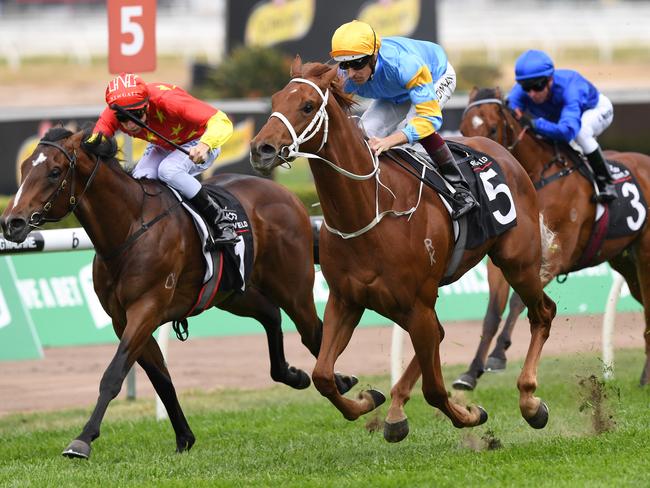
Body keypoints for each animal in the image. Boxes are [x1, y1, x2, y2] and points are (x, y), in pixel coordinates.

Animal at [0, 127, 354, 460]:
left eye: (54, 171)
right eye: (24, 167)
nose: (11, 222)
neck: (130, 228)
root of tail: (288, 196)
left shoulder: (146, 308)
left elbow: (114, 374)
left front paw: (83, 439)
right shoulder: (123, 319)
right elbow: (161, 378)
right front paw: (184, 437)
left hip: (292, 285)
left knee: (313, 332)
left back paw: (342, 384)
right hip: (233, 292)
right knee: (271, 314)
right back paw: (296, 375)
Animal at [251, 58, 556, 442]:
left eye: (307, 106)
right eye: (275, 100)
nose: (260, 149)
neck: (369, 210)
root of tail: (505, 153)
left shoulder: (418, 303)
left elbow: (435, 390)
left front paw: (471, 414)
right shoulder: (346, 300)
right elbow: (322, 376)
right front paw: (369, 400)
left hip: (516, 262)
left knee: (542, 313)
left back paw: (530, 402)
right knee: (441, 333)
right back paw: (396, 410)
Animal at [454, 87, 648, 390]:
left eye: (493, 128)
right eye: (463, 129)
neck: (537, 177)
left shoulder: (557, 255)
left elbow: (519, 302)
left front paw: (498, 355)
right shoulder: (503, 260)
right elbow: (492, 314)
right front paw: (471, 372)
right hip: (625, 262)